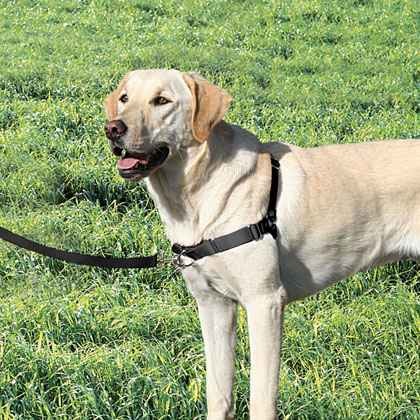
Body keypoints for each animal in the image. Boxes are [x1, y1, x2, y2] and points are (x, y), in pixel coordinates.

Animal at [104, 69, 416, 420]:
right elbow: (219, 395)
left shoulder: (264, 303)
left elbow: (261, 399)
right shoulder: (214, 306)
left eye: (162, 100)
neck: (196, 194)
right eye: (125, 98)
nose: (113, 128)